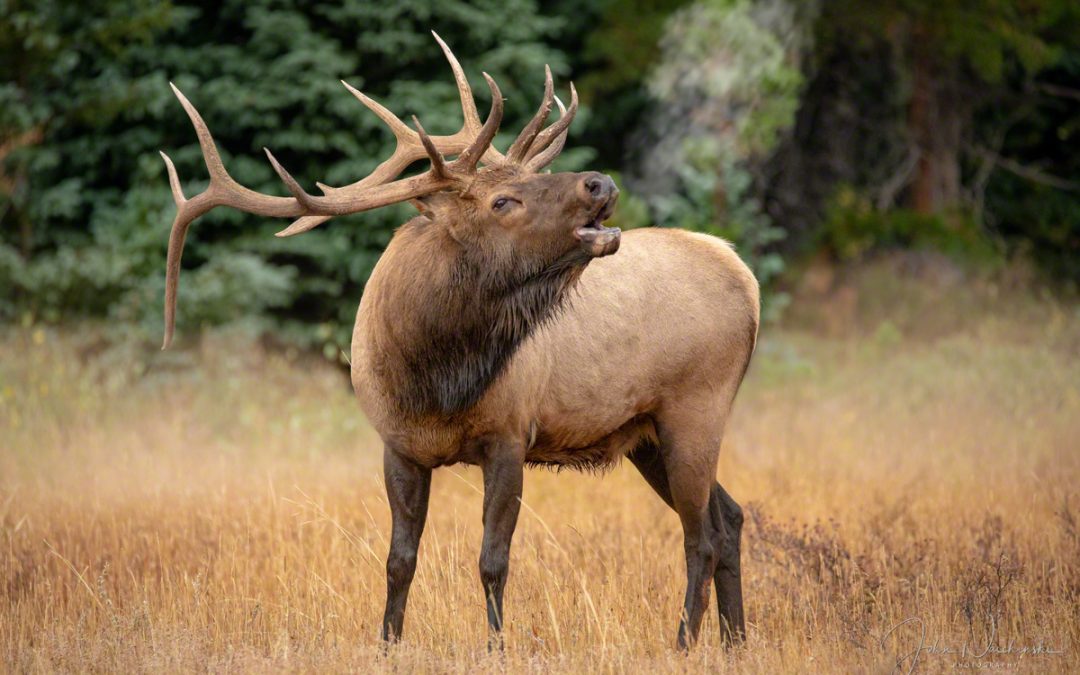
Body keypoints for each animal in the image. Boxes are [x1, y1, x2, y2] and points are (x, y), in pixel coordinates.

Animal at [159, 32, 760, 648]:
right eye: (503, 200)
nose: (601, 182)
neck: (435, 378)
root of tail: (743, 272)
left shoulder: (510, 435)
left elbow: (493, 561)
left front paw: (496, 647)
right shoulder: (397, 445)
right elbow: (399, 560)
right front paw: (388, 642)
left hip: (696, 407)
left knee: (700, 536)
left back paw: (684, 643)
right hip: (647, 433)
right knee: (730, 518)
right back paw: (734, 642)